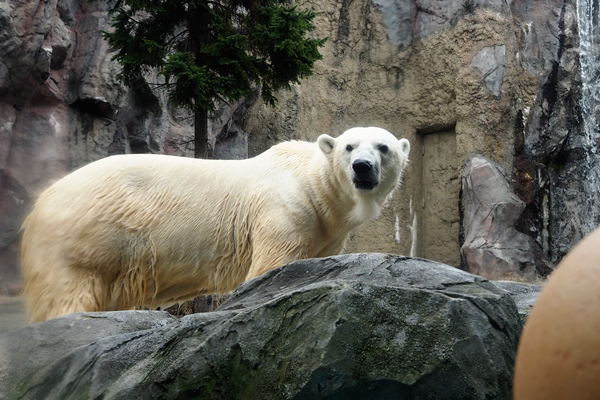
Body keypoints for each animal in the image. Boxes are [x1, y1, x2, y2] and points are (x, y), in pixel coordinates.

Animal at [21, 126, 410, 320]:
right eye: (349, 147)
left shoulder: (325, 230)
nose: (362, 167)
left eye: (384, 147)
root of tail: (39, 205)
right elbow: (271, 265)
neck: (312, 184)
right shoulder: (284, 209)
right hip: (87, 236)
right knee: (69, 292)